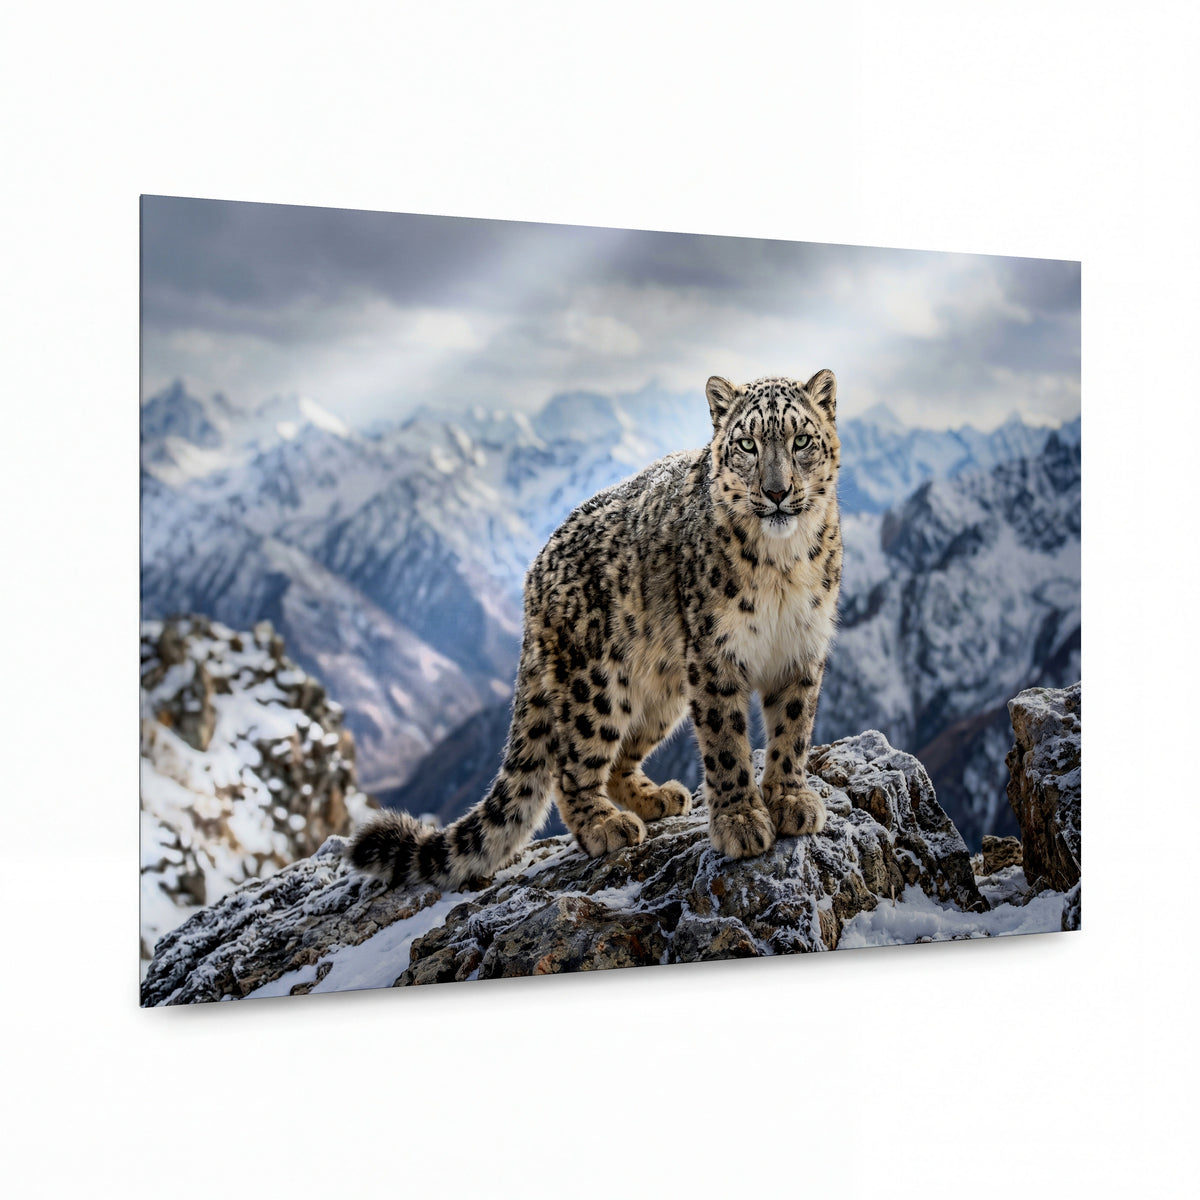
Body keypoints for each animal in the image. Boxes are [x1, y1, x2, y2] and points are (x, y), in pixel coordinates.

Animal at [348, 370, 843, 889]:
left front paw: (790, 800)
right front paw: (741, 822)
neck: (782, 566)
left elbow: (793, 730)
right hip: (597, 683)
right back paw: (605, 825)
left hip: (662, 690)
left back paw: (658, 798)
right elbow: (726, 743)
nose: (777, 492)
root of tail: (533, 576)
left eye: (801, 440)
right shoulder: (715, 656)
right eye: (747, 443)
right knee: (571, 767)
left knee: (621, 756)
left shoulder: (801, 648)